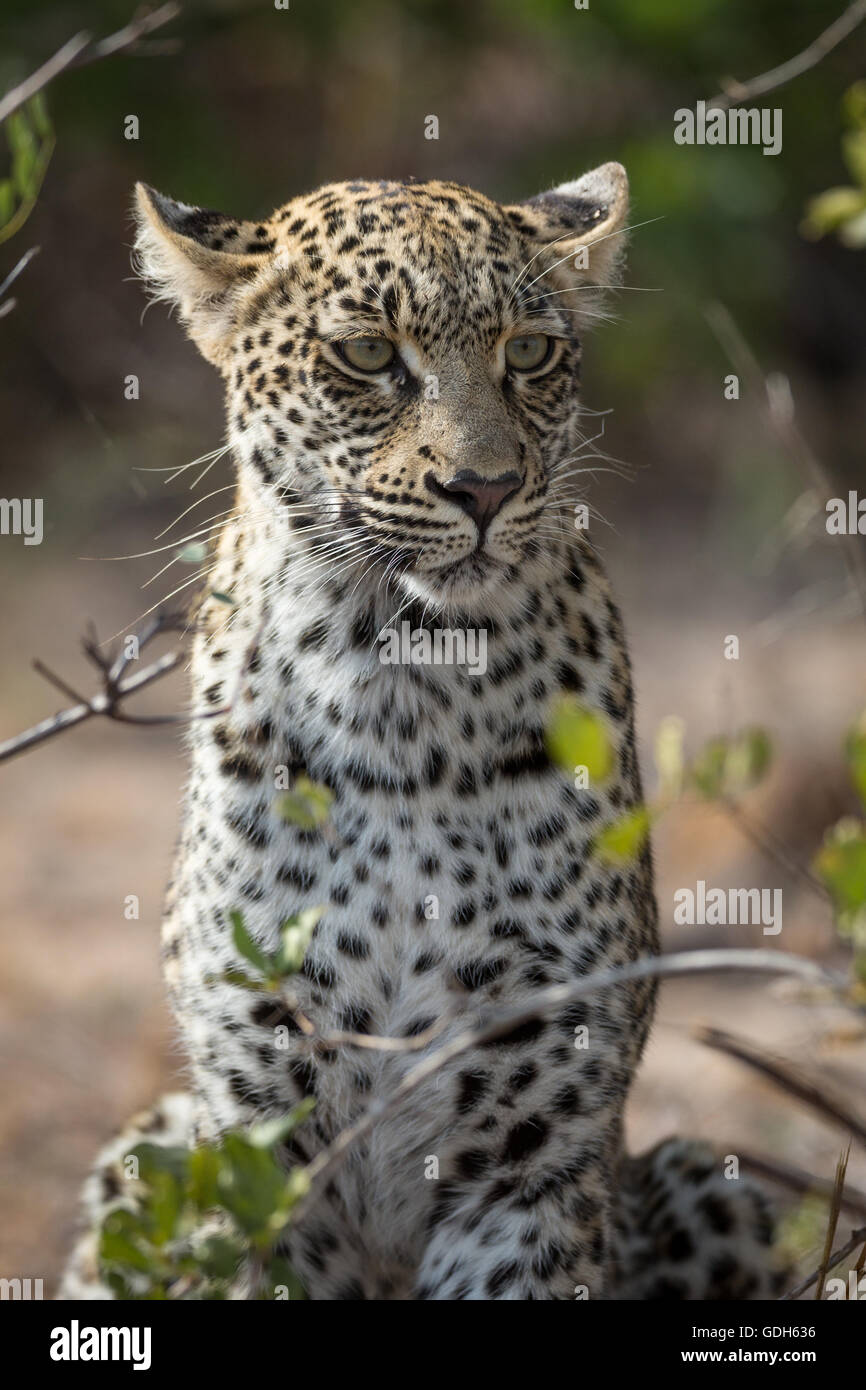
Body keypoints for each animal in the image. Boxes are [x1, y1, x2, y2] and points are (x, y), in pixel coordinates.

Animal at [60, 163, 783, 1300]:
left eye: (526, 353)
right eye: (367, 355)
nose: (483, 489)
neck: (401, 691)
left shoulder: (531, 1159)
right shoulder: (264, 1147)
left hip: (717, 1188)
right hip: (143, 1155)